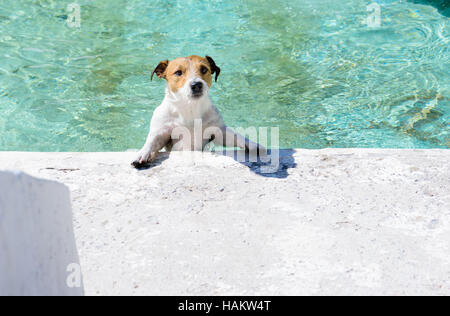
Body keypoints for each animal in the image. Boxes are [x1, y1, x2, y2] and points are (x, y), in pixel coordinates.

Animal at [132, 55, 262, 168]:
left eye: (204, 69)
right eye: (178, 72)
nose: (196, 85)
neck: (190, 108)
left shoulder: (218, 130)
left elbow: (237, 136)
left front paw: (254, 145)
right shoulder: (161, 131)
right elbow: (151, 141)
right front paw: (142, 153)